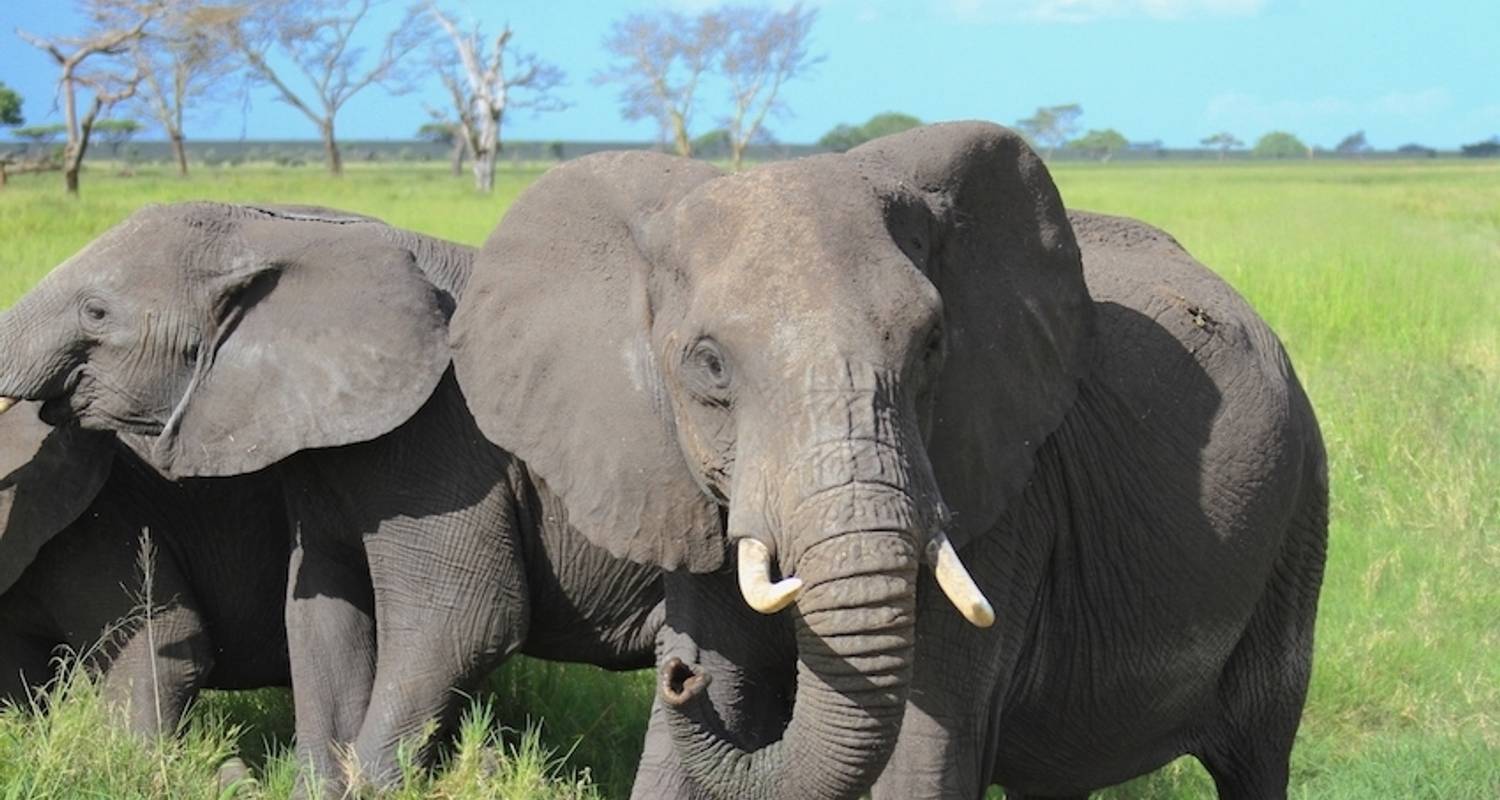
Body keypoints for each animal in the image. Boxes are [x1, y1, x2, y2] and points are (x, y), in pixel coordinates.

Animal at [450, 120, 1332, 798]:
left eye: (933, 343)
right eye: (708, 365)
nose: (672, 672)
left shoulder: (1004, 499)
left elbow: (917, 753)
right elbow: (717, 715)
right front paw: (709, 677)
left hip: (1300, 515)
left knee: (1257, 750)